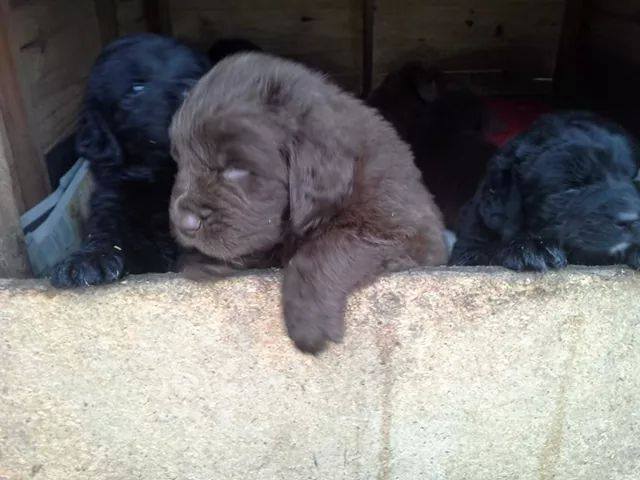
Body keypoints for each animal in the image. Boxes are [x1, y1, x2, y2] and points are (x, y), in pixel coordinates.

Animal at [50, 34, 210, 288]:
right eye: (137, 87)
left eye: (197, 72)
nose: (192, 92)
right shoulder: (114, 196)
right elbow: (106, 229)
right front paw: (86, 260)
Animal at [170, 52, 450, 352]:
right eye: (180, 162)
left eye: (236, 169)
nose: (184, 222)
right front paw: (205, 260)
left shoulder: (404, 228)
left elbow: (327, 248)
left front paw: (308, 318)